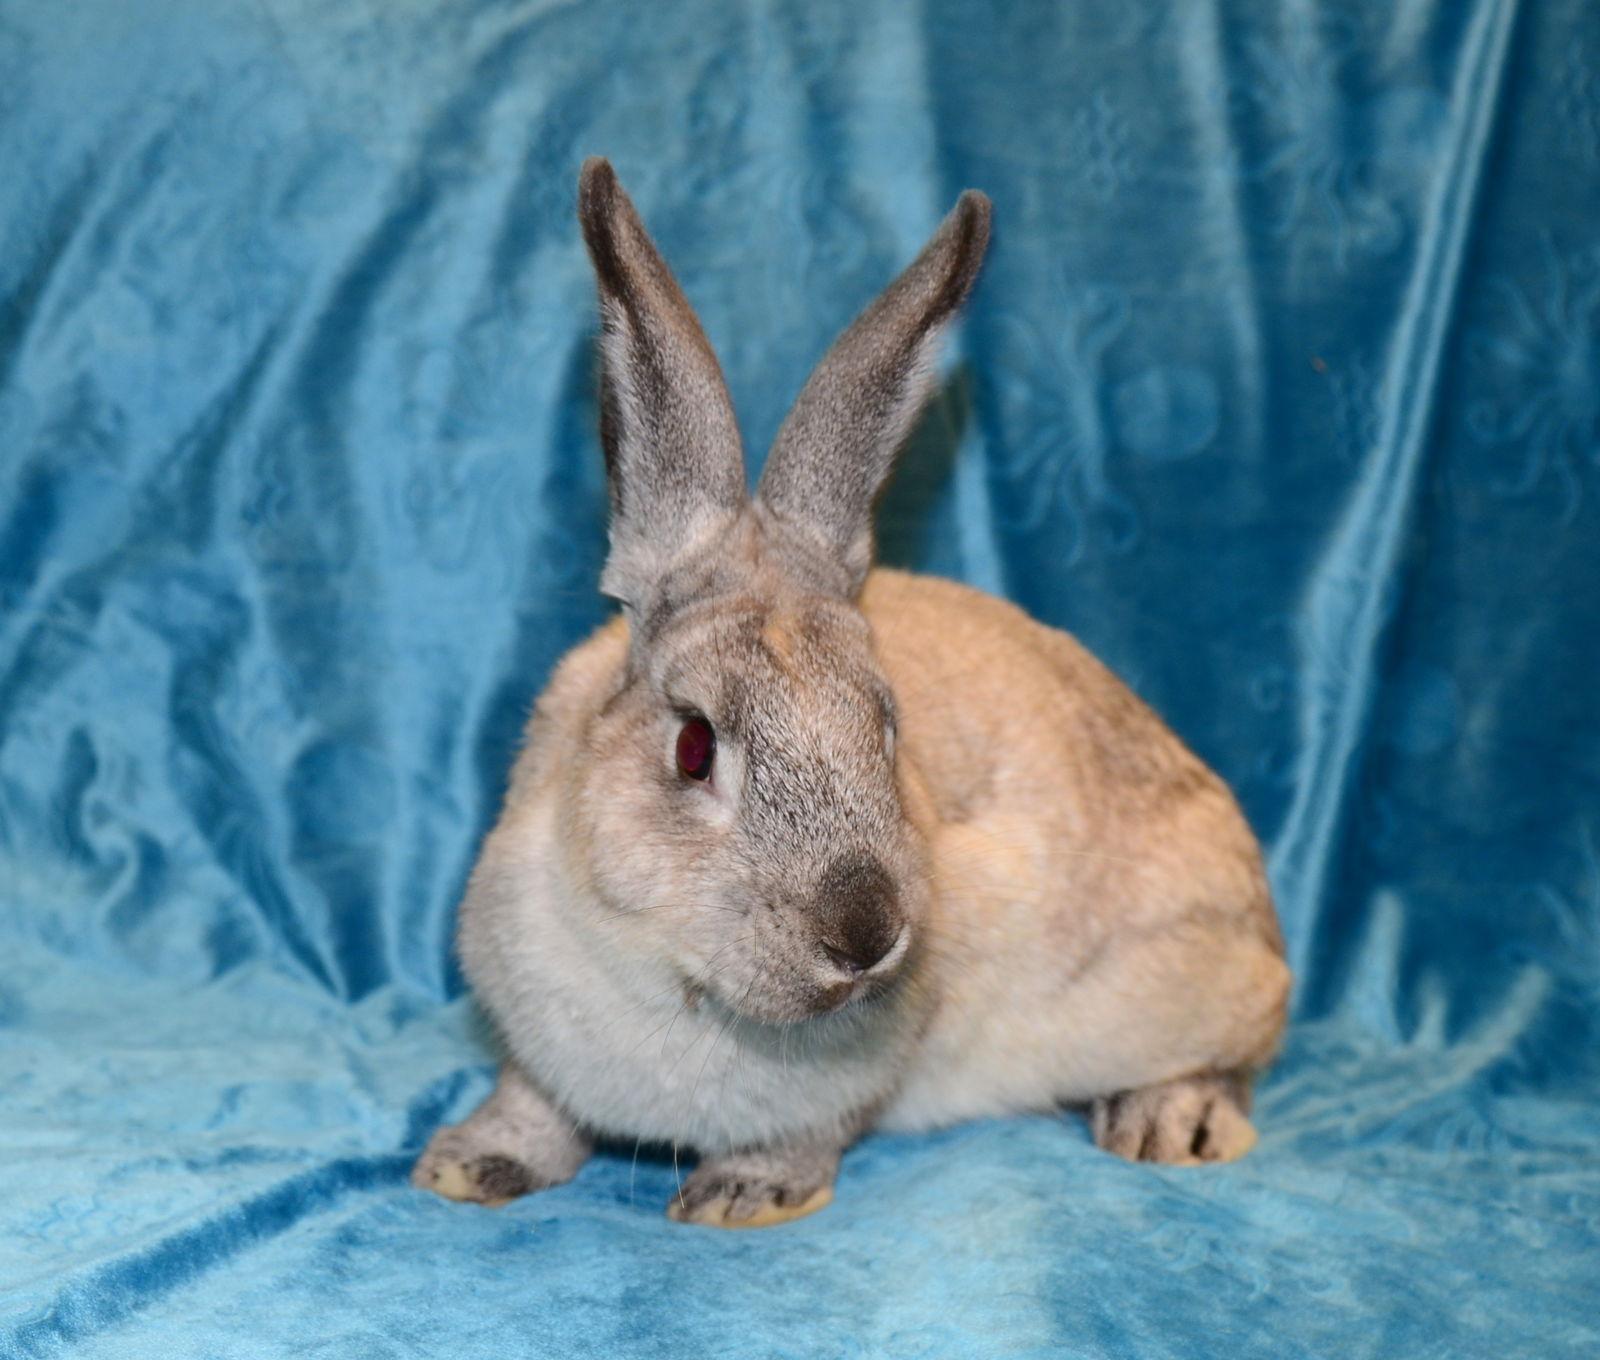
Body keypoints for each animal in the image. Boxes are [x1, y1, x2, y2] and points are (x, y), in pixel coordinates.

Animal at [411, 159, 1290, 1228]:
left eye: (887, 728)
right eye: (694, 747)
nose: (866, 934)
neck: (678, 977)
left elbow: (809, 1132)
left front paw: (743, 1195)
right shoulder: (533, 1046)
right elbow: (532, 1104)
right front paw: (466, 1167)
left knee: (1236, 1056)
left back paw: (1173, 1126)